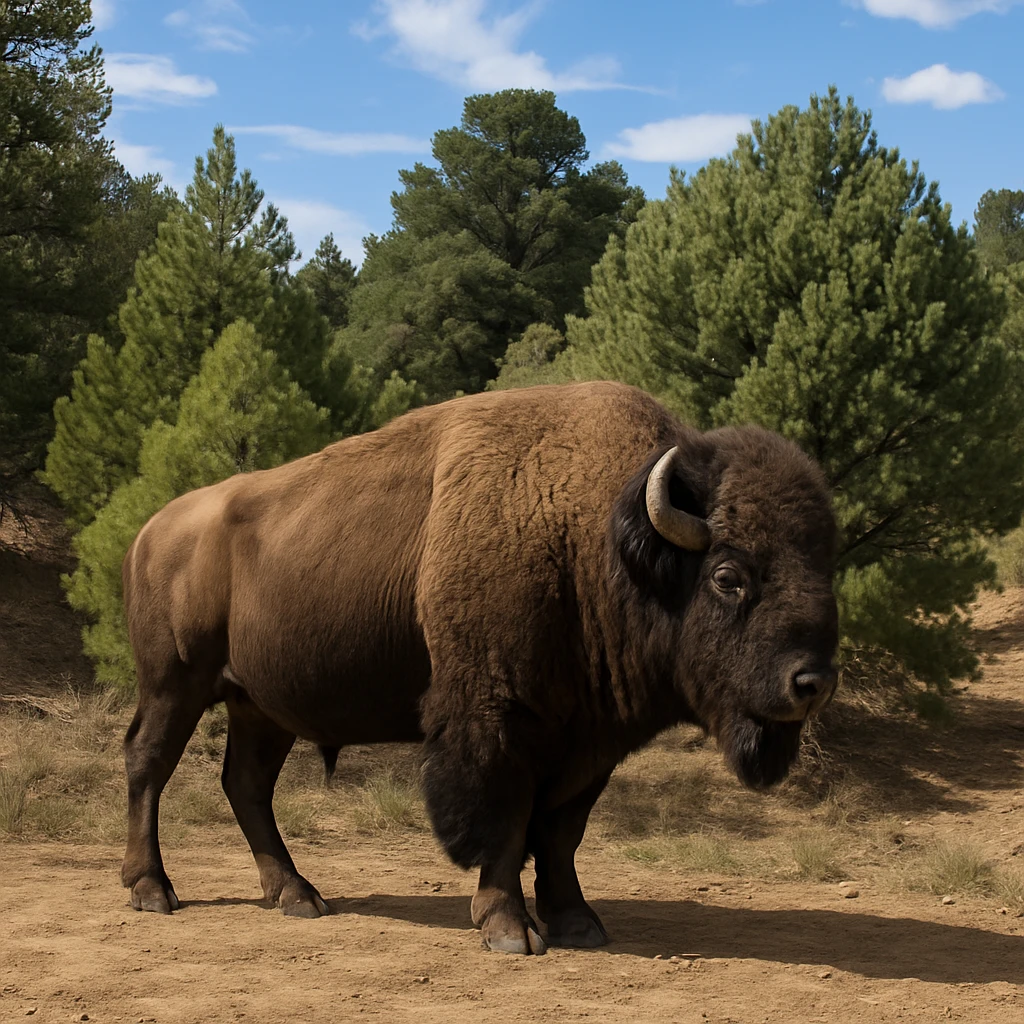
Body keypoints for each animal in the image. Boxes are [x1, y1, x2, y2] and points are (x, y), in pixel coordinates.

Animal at [120, 381, 839, 954]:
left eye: (826, 568)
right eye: (727, 576)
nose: (812, 683)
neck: (600, 537)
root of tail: (151, 530)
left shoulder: (590, 741)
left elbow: (561, 831)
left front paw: (578, 922)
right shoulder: (495, 721)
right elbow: (507, 821)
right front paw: (508, 929)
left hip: (260, 706)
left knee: (245, 784)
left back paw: (297, 895)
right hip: (175, 684)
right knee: (148, 762)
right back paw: (152, 890)